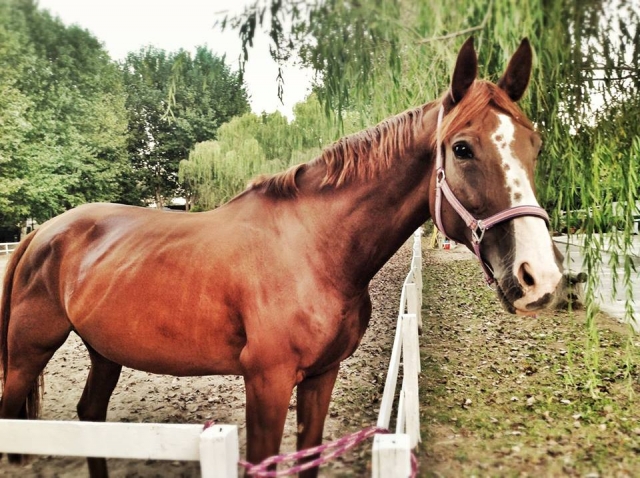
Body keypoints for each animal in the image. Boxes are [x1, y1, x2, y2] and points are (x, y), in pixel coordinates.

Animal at [0, 37, 563, 477]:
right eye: (463, 148)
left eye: (535, 145)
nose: (539, 278)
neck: (314, 249)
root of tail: (40, 232)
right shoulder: (266, 384)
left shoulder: (320, 377)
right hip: (27, 354)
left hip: (104, 352)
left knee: (90, 416)